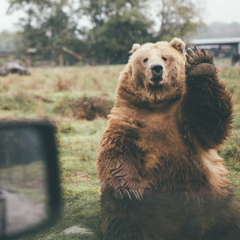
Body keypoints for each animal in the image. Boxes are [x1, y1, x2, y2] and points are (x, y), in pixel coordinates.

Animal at [96, 38, 240, 240]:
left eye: (165, 57)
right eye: (145, 59)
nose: (156, 69)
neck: (157, 103)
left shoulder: (184, 121)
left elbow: (209, 121)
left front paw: (201, 64)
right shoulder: (130, 119)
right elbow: (116, 151)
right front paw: (130, 190)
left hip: (214, 194)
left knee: (225, 216)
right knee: (123, 215)